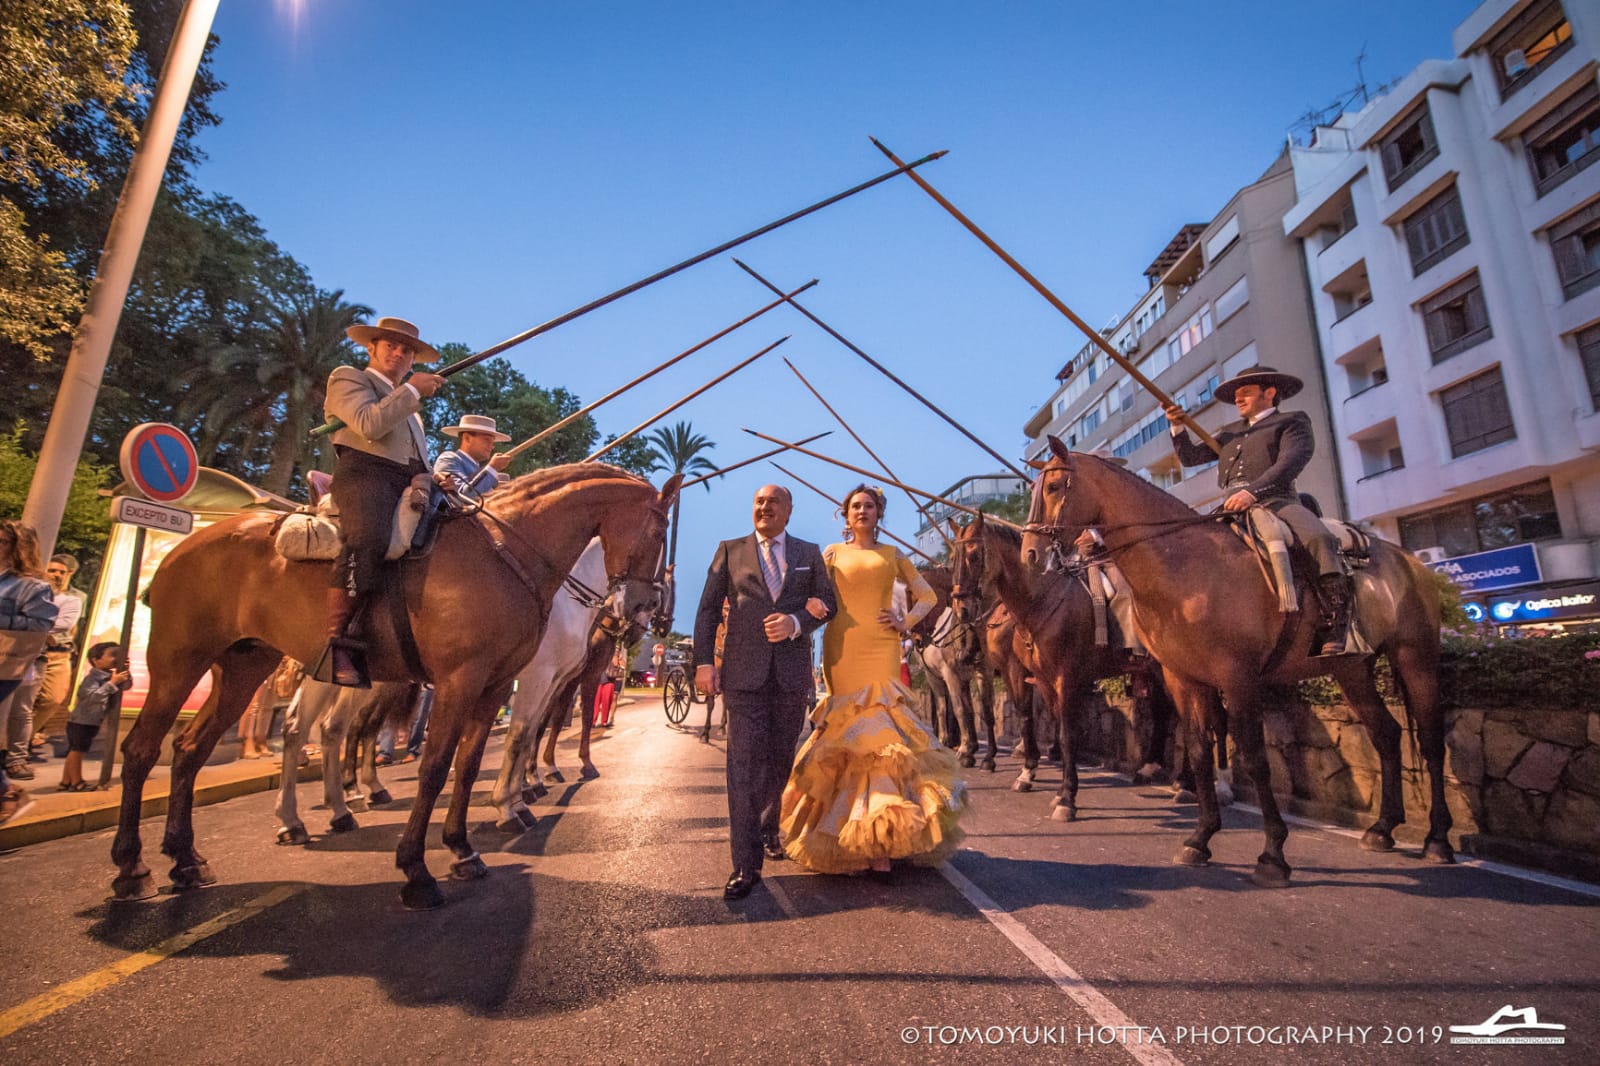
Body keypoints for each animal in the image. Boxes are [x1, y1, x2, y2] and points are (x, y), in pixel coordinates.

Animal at [114, 464, 681, 902]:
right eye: (660, 534)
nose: (640, 611)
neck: (512, 559)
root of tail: (187, 545)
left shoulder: (500, 684)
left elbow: (476, 760)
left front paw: (468, 844)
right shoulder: (473, 680)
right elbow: (444, 763)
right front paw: (424, 864)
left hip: (247, 664)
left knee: (195, 748)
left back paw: (195, 857)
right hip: (185, 660)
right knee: (159, 746)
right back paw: (137, 865)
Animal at [1024, 435, 1452, 883]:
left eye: (1053, 487)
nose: (1032, 555)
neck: (1184, 566)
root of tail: (1410, 561)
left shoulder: (1238, 678)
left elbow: (1255, 758)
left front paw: (1273, 853)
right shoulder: (1184, 678)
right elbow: (1198, 750)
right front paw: (1200, 838)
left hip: (1416, 659)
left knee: (1430, 741)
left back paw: (1437, 839)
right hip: (1352, 668)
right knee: (1386, 734)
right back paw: (1383, 828)